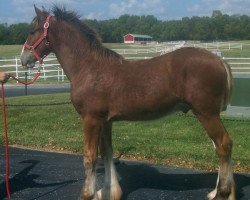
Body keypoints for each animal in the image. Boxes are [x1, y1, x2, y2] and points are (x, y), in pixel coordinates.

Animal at [20, 5, 235, 199]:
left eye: (32, 31)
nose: (24, 59)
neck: (89, 68)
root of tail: (219, 60)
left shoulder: (91, 119)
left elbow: (89, 156)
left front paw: (87, 194)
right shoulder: (105, 121)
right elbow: (106, 153)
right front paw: (108, 191)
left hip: (206, 113)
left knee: (223, 144)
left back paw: (222, 193)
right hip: (207, 114)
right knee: (219, 146)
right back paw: (220, 191)